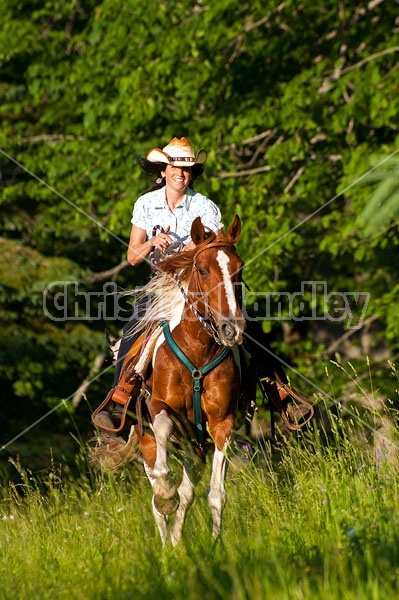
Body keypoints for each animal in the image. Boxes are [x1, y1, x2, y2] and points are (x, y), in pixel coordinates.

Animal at [131, 214, 255, 544]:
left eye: (239, 268)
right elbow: (163, 438)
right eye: (202, 269)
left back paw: (176, 543)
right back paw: (165, 542)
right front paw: (165, 493)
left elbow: (216, 495)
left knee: (187, 491)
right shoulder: (159, 407)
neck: (197, 352)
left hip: (195, 448)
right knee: (156, 500)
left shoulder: (223, 423)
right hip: (146, 440)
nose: (231, 329)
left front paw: (215, 544)